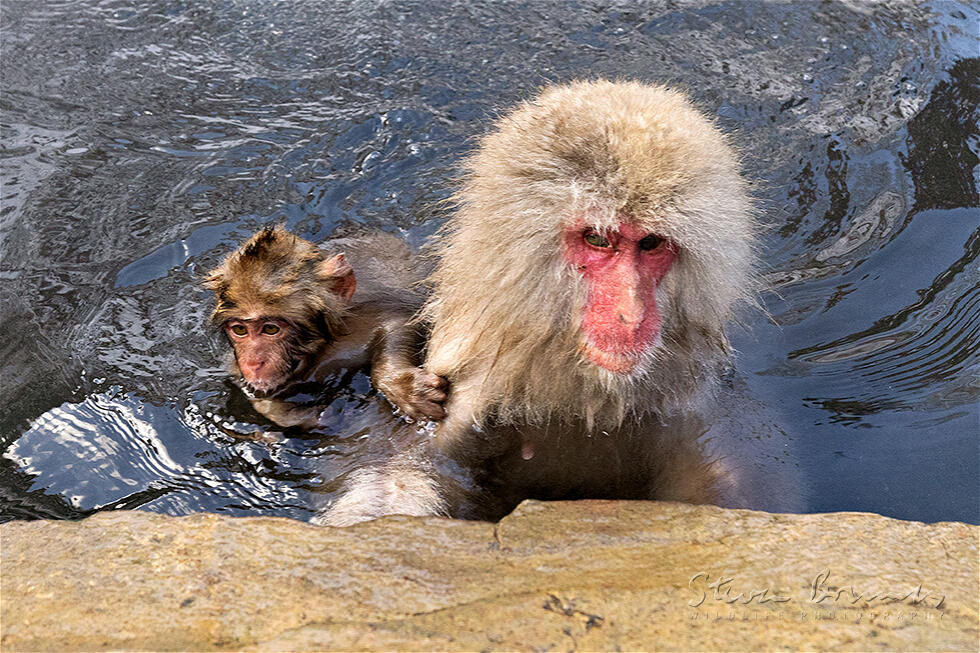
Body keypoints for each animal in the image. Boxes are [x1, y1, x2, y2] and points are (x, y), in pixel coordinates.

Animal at [205, 225, 447, 431]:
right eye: (240, 330)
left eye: (271, 329)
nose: (253, 363)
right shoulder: (235, 368)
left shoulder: (357, 328)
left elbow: (403, 319)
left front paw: (400, 385)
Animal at [319, 80, 801, 526]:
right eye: (598, 239)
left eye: (650, 244)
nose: (631, 313)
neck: (580, 398)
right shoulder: (458, 412)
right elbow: (395, 487)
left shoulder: (701, 414)